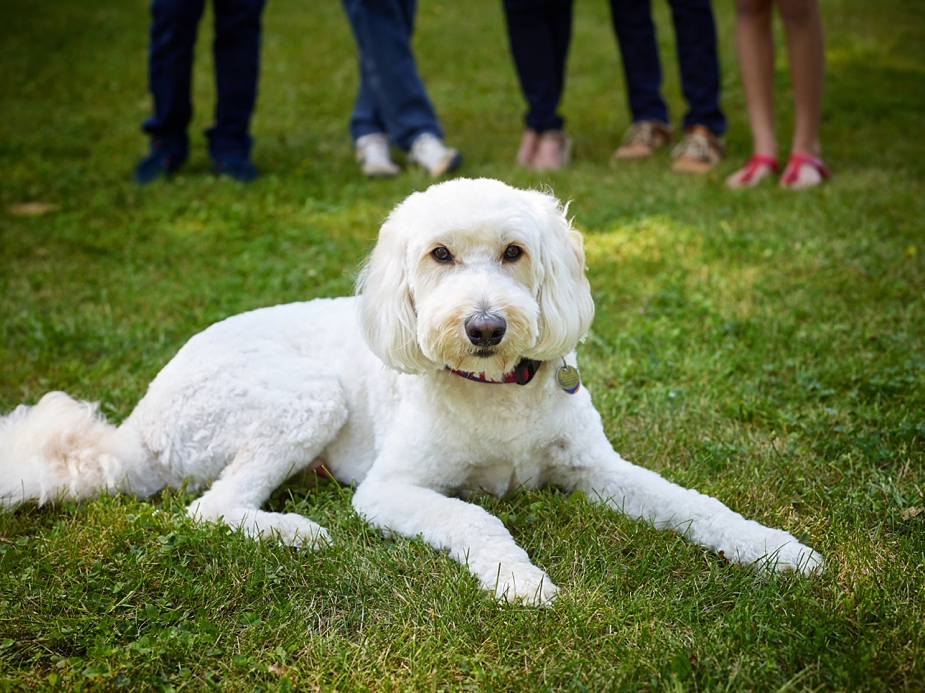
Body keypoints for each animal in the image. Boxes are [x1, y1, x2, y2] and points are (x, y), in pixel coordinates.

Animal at [1, 180, 824, 604]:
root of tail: (135, 428)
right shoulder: (393, 490)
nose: (486, 326)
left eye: (514, 252)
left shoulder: (597, 468)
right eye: (439, 255)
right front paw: (518, 577)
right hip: (305, 397)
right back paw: (294, 530)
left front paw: (775, 550)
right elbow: (475, 517)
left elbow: (695, 504)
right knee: (211, 509)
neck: (495, 389)